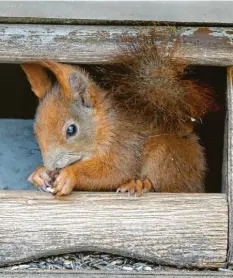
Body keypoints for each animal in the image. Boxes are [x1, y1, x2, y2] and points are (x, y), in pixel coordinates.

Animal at [20, 30, 216, 197]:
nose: (51, 168)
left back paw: (139, 184)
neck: (104, 124)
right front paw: (40, 174)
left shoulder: (123, 142)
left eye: (71, 130)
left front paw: (69, 175)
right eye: (35, 132)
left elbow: (114, 171)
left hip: (166, 155)